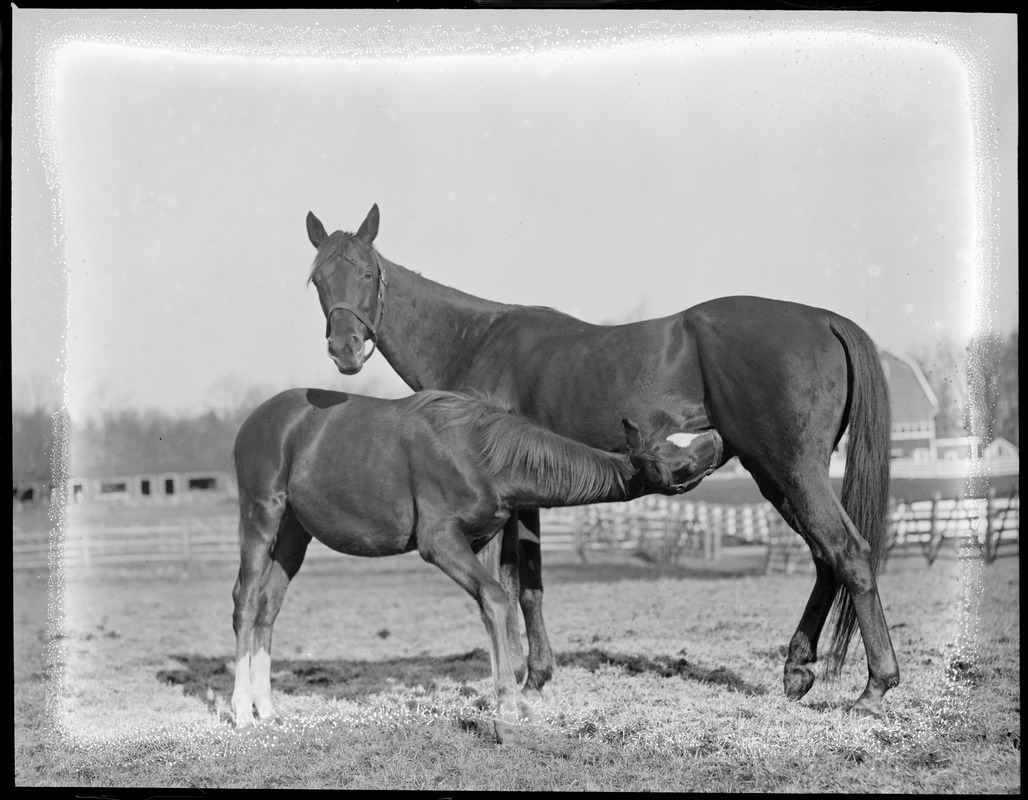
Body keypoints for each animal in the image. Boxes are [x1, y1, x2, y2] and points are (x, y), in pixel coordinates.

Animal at [229, 386, 670, 740]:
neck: (478, 452)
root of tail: (256, 419)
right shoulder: (439, 542)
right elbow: (494, 599)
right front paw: (506, 712)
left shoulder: (483, 541)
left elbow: (496, 604)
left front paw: (511, 704)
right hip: (261, 516)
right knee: (246, 603)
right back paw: (242, 713)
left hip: (293, 533)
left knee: (268, 607)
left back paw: (266, 710)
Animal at [304, 202, 900, 715]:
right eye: (317, 279)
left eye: (367, 271)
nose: (345, 350)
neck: (477, 340)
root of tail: (822, 319)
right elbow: (525, 584)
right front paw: (534, 675)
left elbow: (519, 584)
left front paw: (525, 678)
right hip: (775, 476)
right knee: (825, 557)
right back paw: (798, 670)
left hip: (792, 470)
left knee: (848, 553)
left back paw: (875, 687)